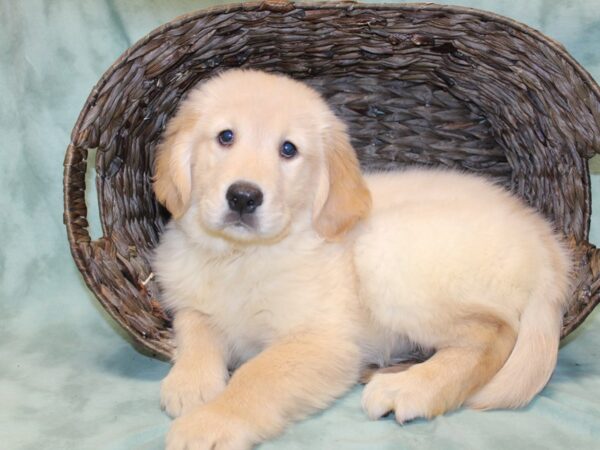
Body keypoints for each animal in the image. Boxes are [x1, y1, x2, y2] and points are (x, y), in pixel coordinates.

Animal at [151, 69, 572, 450]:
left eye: (288, 149)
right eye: (226, 137)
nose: (242, 196)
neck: (240, 257)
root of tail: (544, 240)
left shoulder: (323, 341)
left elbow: (257, 376)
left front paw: (210, 423)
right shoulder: (187, 298)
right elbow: (196, 326)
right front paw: (191, 382)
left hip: (386, 255)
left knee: (494, 332)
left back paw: (410, 388)